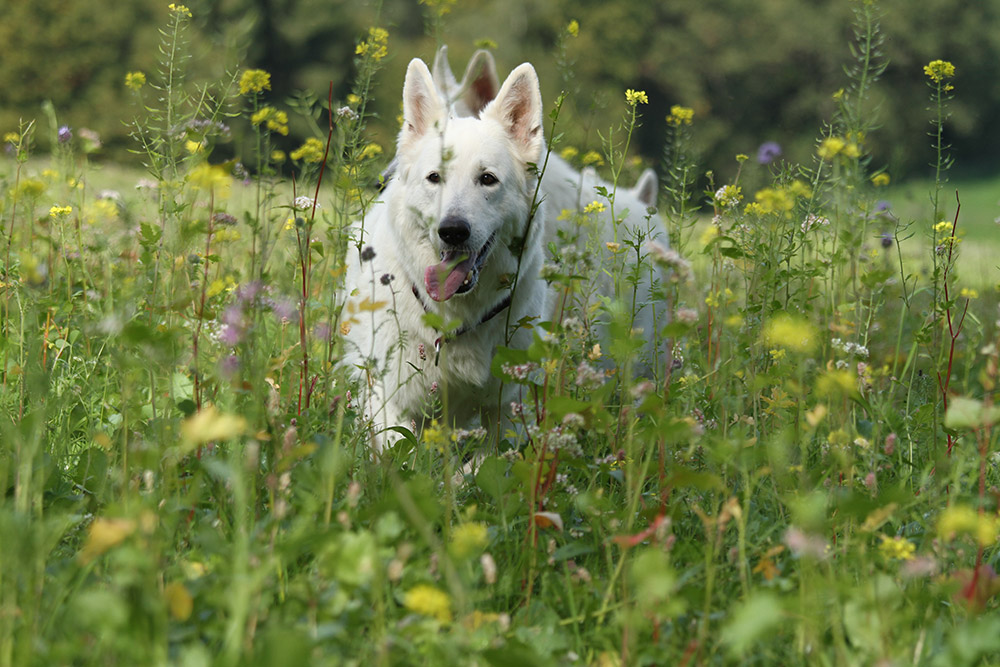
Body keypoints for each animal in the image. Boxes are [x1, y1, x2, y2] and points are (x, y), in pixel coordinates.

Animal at [339, 58, 547, 452]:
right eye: (434, 177)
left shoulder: (506, 410)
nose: (452, 231)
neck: (453, 316)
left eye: (487, 179)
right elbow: (397, 454)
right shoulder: (387, 398)